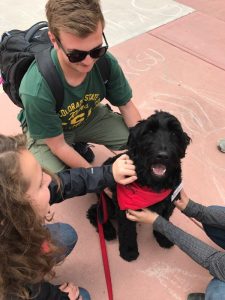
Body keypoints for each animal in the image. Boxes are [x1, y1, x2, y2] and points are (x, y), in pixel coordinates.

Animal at [86, 111, 190, 262]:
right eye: (150, 131)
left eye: (174, 133)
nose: (162, 155)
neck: (153, 184)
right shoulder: (125, 211)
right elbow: (127, 232)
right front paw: (129, 251)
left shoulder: (168, 205)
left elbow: (163, 223)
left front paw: (163, 238)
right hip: (109, 204)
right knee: (95, 211)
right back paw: (107, 231)